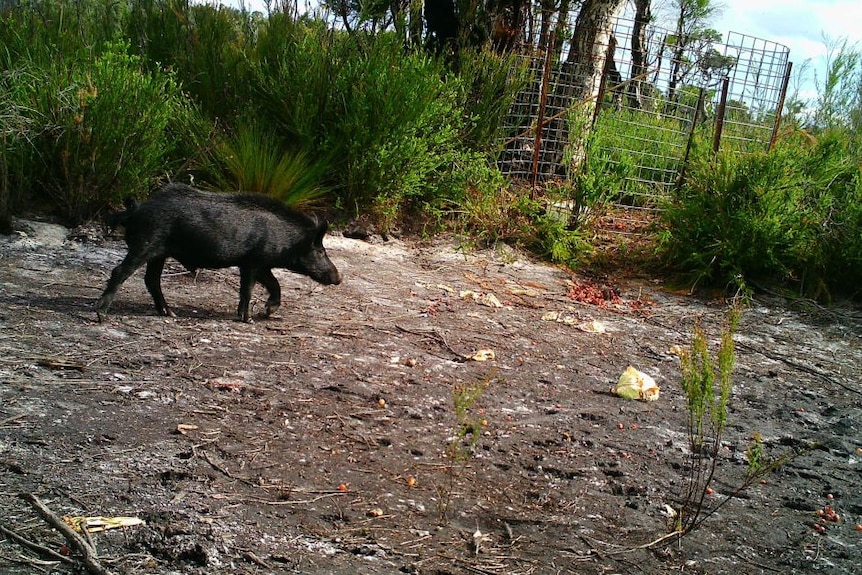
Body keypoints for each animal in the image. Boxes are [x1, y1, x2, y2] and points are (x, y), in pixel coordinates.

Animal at [96, 183, 342, 324]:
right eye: (321, 250)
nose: (339, 278)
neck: (285, 239)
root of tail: (135, 209)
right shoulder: (252, 262)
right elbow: (248, 290)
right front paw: (248, 320)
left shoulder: (259, 263)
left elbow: (274, 284)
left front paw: (267, 312)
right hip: (146, 244)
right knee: (120, 271)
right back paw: (102, 315)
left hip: (159, 254)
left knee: (151, 279)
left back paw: (169, 313)